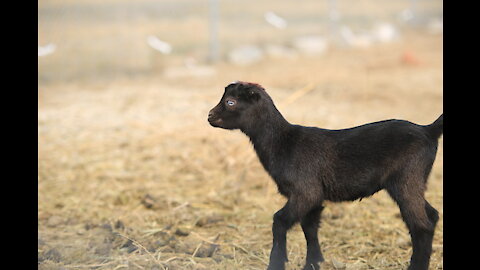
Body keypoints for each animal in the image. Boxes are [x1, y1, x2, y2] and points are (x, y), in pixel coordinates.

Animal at [206, 81, 442, 268]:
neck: (283, 142)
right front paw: (313, 262)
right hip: (414, 182)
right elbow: (310, 227)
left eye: (230, 102)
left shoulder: (305, 191)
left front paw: (277, 263)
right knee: (432, 215)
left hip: (406, 180)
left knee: (421, 225)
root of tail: (428, 130)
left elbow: (279, 220)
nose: (209, 116)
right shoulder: (315, 196)